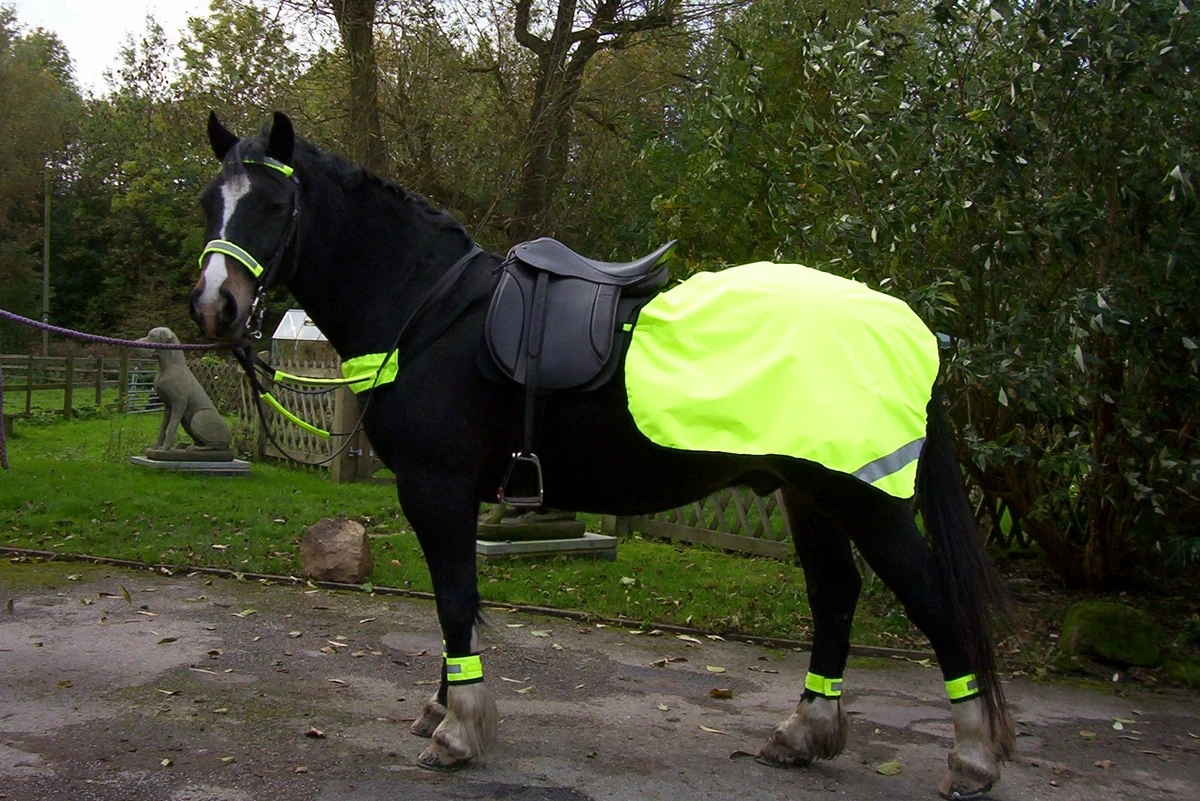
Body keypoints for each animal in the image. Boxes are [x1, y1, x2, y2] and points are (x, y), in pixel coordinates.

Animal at [189, 111, 1014, 799]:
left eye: (273, 205)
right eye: (208, 202)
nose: (215, 307)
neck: (428, 306)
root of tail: (910, 326)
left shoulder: (437, 486)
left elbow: (454, 600)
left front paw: (458, 729)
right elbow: (456, 602)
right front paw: (442, 706)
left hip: (863, 497)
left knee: (934, 602)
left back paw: (973, 758)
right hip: (809, 494)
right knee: (836, 595)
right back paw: (802, 733)